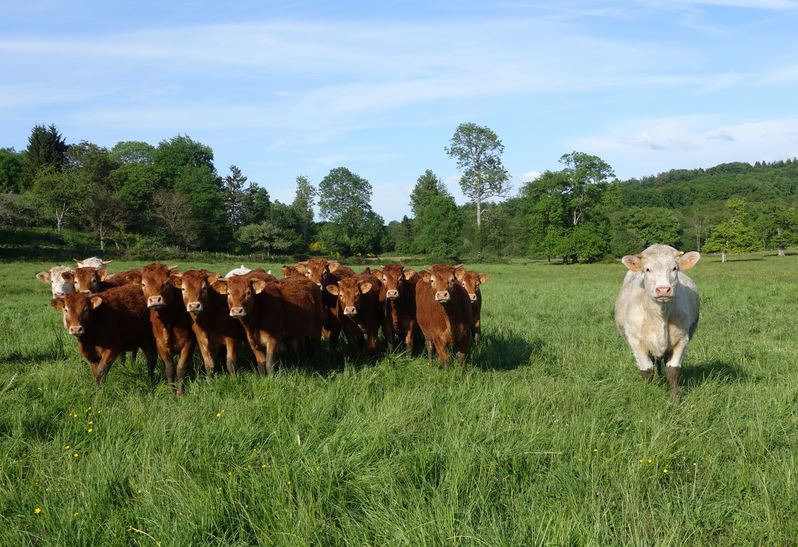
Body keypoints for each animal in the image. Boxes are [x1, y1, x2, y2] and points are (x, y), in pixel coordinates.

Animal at [141, 264, 196, 396]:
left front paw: (180, 392)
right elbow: (169, 369)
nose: (155, 300)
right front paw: (171, 390)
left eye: (166, 283)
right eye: (143, 284)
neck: (168, 320)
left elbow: (181, 367)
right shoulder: (160, 345)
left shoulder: (189, 342)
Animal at [616, 244, 704, 402]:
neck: (659, 317)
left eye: (674, 268)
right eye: (647, 269)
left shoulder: (681, 340)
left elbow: (673, 370)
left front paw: (674, 400)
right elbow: (646, 370)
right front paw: (647, 393)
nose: (663, 289)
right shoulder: (636, 341)